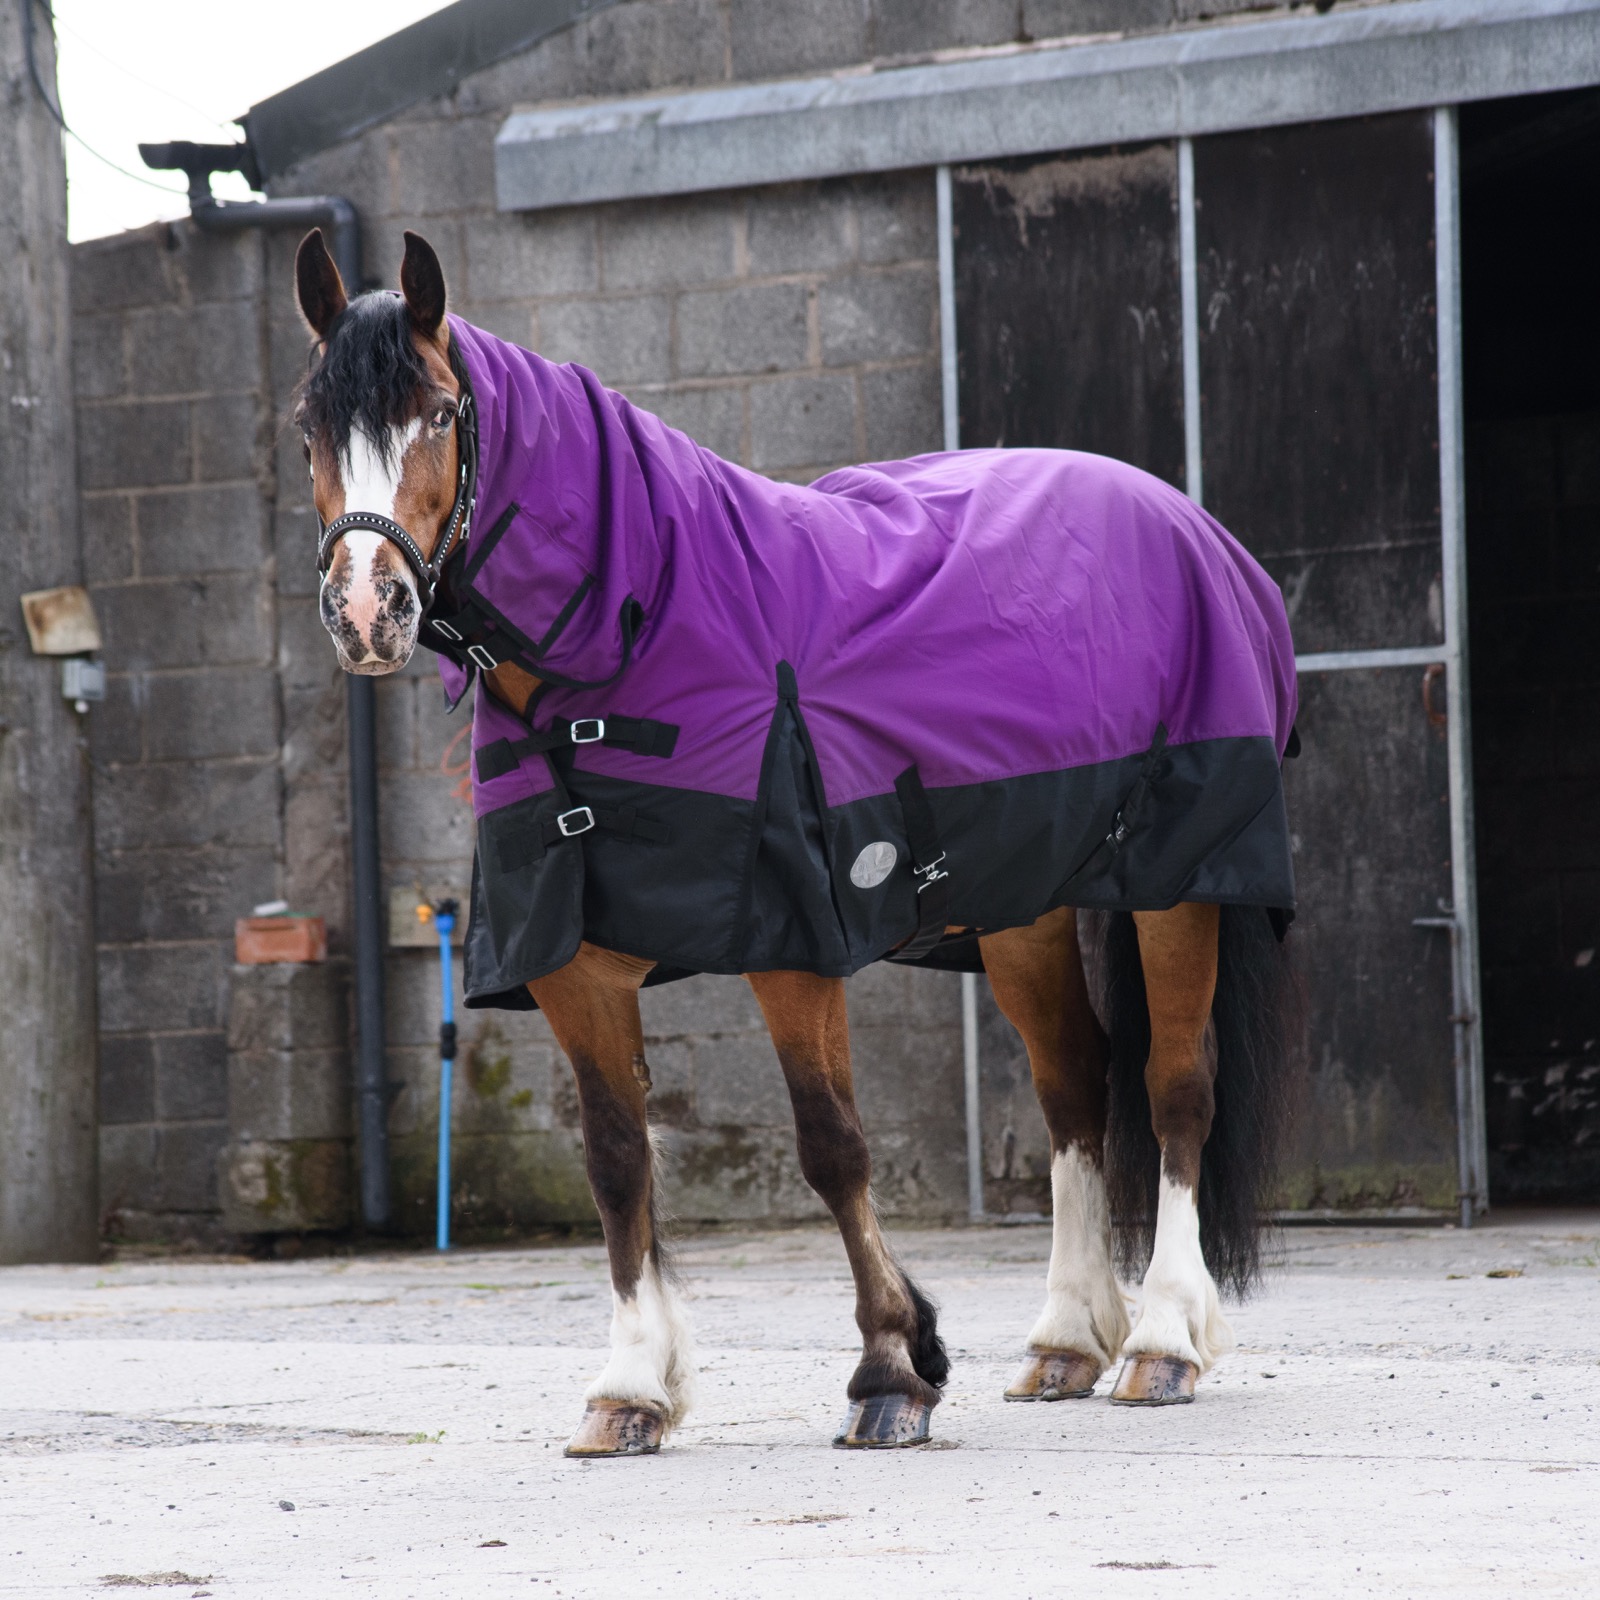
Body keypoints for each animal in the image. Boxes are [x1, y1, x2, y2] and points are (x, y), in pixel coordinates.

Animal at [295, 226, 1297, 1457]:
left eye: (438, 412)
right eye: (308, 426)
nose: (366, 611)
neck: (642, 624)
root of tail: (1190, 526)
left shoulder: (791, 938)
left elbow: (832, 1145)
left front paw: (893, 1367)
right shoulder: (574, 963)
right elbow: (616, 1160)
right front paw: (633, 1386)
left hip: (1177, 882)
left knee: (1174, 1086)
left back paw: (1162, 1340)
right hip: (1025, 907)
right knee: (1074, 1085)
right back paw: (1068, 1339)